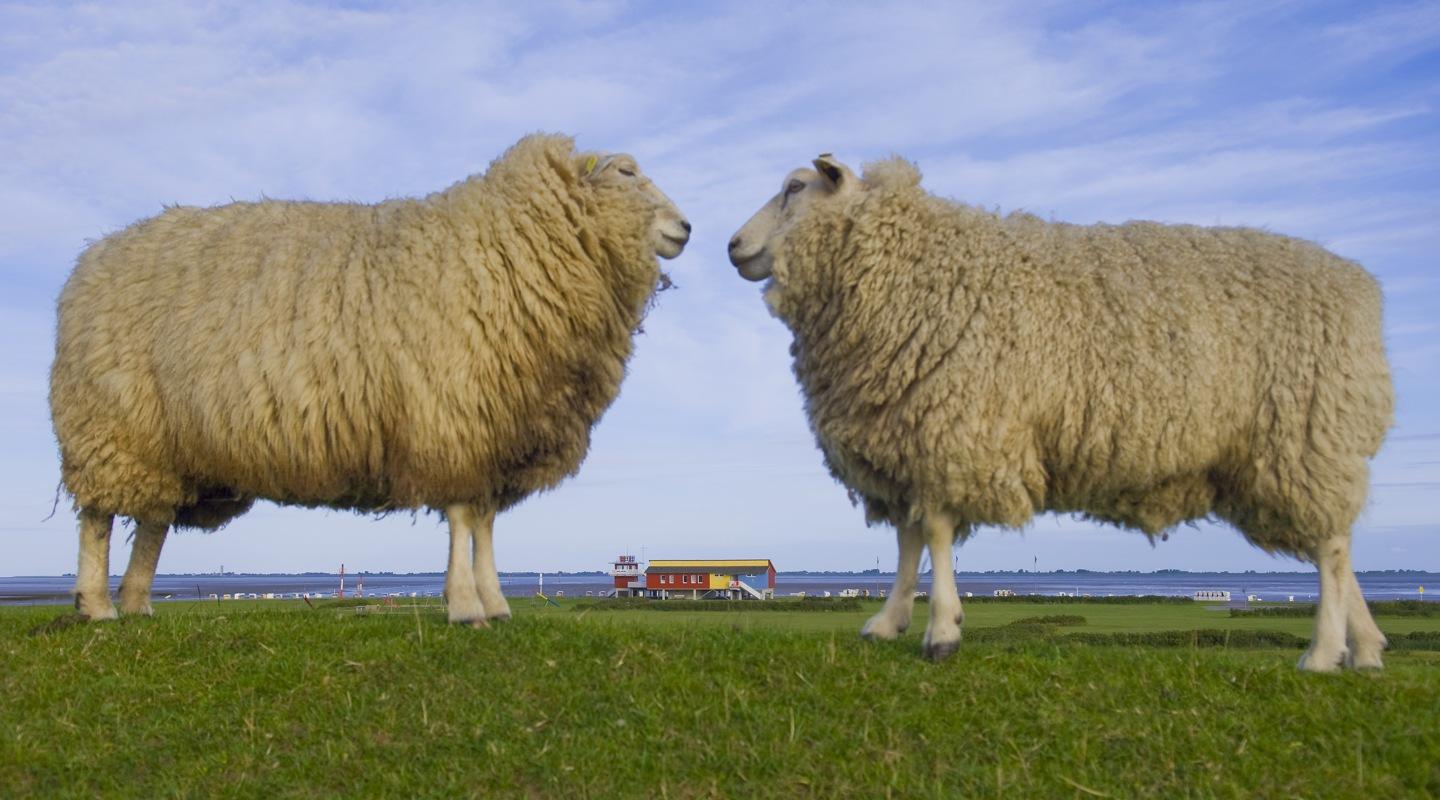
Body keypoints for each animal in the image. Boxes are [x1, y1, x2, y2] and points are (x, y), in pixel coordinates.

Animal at [50, 133, 690, 626]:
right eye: (626, 172)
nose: (685, 227)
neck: (505, 244)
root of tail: (90, 258)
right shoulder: (450, 417)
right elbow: (464, 520)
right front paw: (465, 607)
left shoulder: (491, 430)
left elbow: (484, 527)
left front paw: (495, 603)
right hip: (109, 430)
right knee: (99, 522)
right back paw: (96, 608)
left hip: (162, 444)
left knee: (152, 524)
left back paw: (136, 604)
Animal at [728, 153, 1393, 671]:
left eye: (795, 187)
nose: (732, 245)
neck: (906, 266)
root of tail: (1362, 291)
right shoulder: (908, 436)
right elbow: (908, 539)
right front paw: (889, 623)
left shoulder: (955, 427)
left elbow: (935, 533)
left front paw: (942, 631)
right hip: (1306, 447)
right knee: (1342, 546)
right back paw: (1366, 649)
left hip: (1304, 435)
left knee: (1332, 549)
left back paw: (1323, 652)